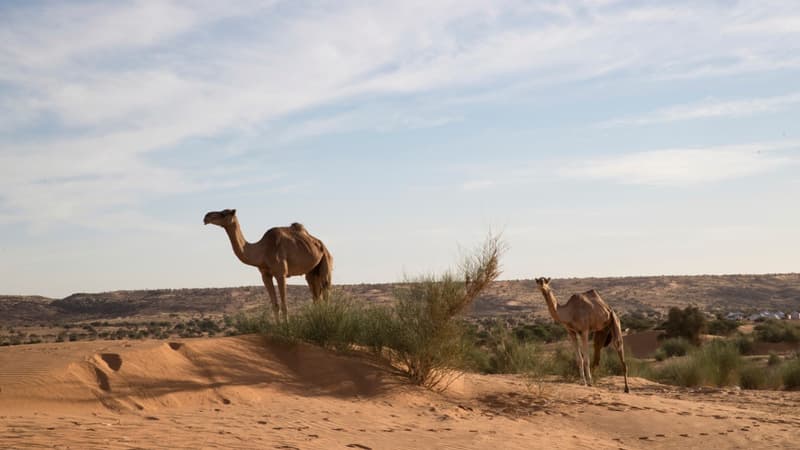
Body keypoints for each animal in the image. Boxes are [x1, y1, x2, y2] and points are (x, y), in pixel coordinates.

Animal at [206, 209, 334, 322]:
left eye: (223, 213)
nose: (206, 217)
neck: (262, 251)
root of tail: (321, 245)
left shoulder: (281, 273)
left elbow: (284, 304)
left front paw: (287, 329)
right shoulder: (265, 275)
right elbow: (275, 305)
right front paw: (278, 328)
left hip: (326, 261)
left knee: (326, 290)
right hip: (311, 272)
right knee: (316, 296)